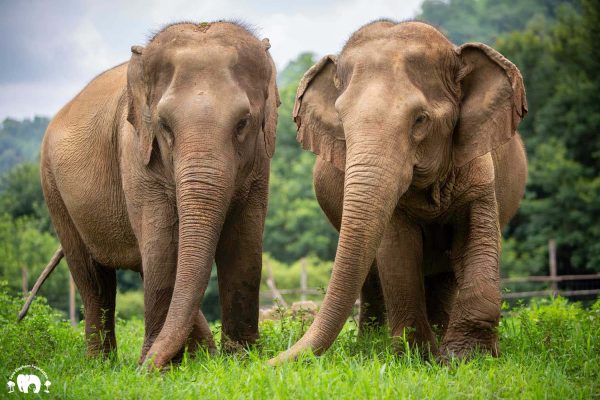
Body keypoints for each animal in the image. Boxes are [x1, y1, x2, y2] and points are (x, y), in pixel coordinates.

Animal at [27, 20, 280, 368]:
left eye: (243, 123)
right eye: (165, 126)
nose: (143, 369)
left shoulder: (259, 164)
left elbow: (244, 243)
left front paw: (241, 360)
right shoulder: (136, 154)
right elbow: (163, 245)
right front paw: (159, 367)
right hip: (53, 188)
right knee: (94, 280)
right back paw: (100, 365)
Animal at [270, 19, 528, 366]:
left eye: (420, 120)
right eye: (341, 122)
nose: (262, 362)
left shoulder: (477, 166)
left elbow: (478, 236)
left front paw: (466, 358)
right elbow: (397, 253)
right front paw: (417, 357)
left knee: (444, 276)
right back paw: (373, 344)